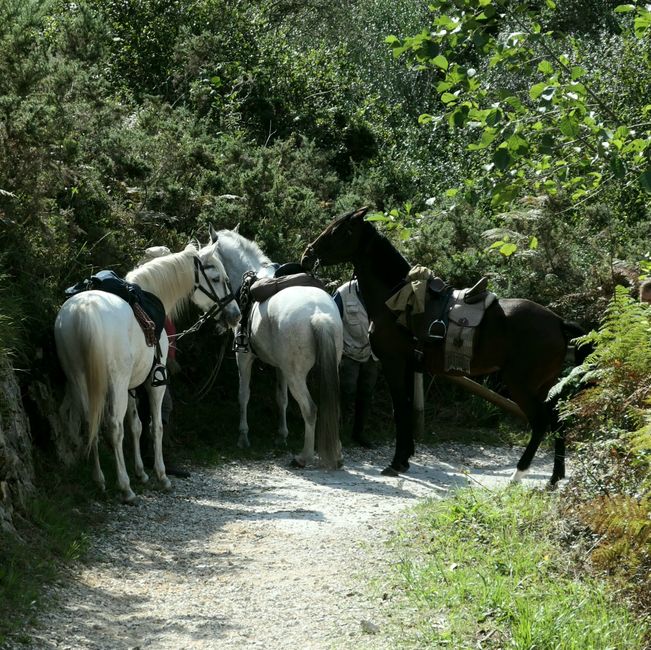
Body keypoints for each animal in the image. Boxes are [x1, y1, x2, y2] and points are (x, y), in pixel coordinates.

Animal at [54, 238, 241, 502]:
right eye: (217, 279)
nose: (235, 315)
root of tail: (83, 312)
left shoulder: (132, 386)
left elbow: (136, 426)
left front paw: (141, 472)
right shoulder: (154, 383)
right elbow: (155, 427)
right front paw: (161, 476)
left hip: (80, 380)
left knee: (90, 423)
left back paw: (99, 480)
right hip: (115, 385)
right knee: (113, 427)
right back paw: (125, 488)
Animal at [210, 225, 344, 468]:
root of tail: (319, 316)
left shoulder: (244, 358)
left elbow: (243, 395)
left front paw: (243, 437)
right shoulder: (280, 366)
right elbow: (281, 399)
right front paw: (282, 436)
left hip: (296, 375)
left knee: (310, 409)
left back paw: (304, 456)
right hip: (325, 368)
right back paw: (336, 454)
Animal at [302, 206, 584, 480]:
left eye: (339, 231)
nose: (307, 255)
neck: (395, 299)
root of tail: (558, 322)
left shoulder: (394, 363)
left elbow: (400, 409)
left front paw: (396, 463)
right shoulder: (408, 366)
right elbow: (404, 408)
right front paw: (404, 459)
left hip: (521, 385)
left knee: (540, 422)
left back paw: (518, 474)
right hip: (544, 386)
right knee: (558, 420)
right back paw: (555, 478)